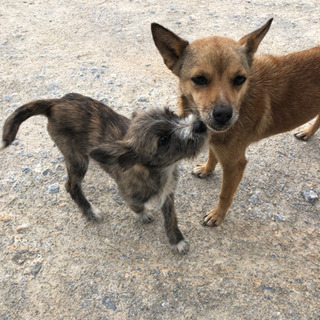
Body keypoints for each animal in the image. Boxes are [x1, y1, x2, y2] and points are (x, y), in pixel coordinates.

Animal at [1, 92, 208, 252]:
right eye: (163, 140)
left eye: (172, 113)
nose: (200, 125)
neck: (160, 170)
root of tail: (56, 102)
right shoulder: (127, 192)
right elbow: (136, 205)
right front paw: (142, 214)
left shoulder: (168, 192)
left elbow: (171, 217)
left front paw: (176, 240)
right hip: (77, 159)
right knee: (71, 186)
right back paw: (90, 211)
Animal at [152, 18, 320, 226]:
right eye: (199, 79)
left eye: (240, 79)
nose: (224, 115)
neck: (243, 99)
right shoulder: (216, 144)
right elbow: (212, 156)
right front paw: (207, 169)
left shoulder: (235, 165)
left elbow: (224, 195)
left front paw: (217, 215)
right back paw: (308, 132)